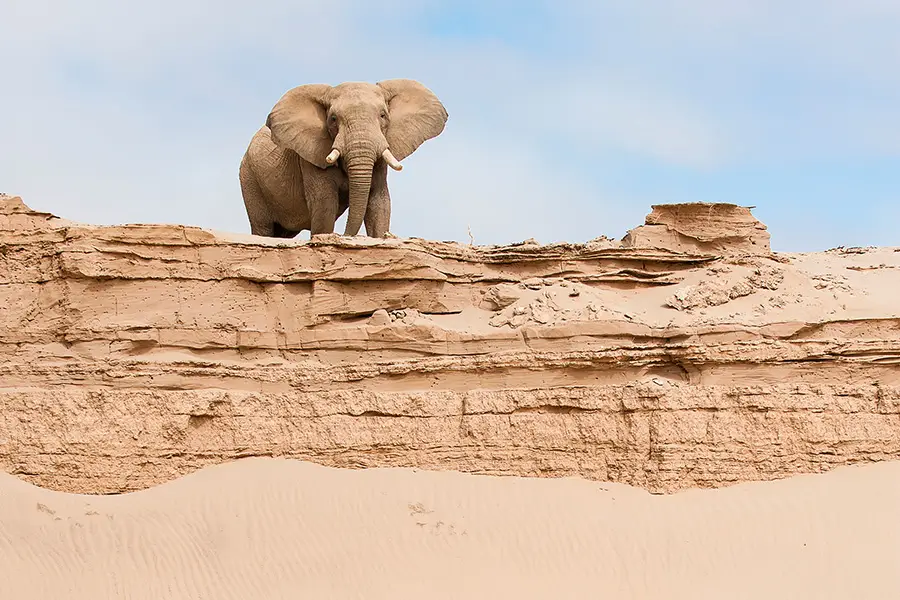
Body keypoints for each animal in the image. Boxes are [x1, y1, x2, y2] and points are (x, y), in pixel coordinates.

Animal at [239, 79, 448, 239]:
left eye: (383, 115)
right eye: (332, 119)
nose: (346, 235)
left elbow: (379, 204)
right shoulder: (311, 156)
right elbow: (325, 204)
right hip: (249, 179)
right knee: (263, 228)